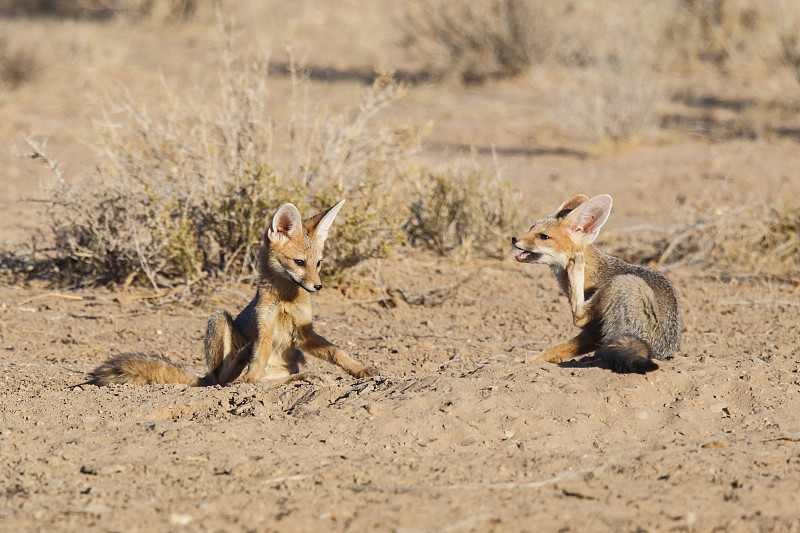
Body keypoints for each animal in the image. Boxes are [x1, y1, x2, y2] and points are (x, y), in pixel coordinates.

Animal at [90, 200, 376, 386]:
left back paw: (303, 376)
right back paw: (242, 362)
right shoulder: (265, 329)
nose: (318, 287)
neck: (285, 300)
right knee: (226, 380)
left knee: (269, 381)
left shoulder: (304, 333)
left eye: (318, 264)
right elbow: (256, 364)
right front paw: (249, 376)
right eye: (299, 263)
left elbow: (337, 352)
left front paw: (360, 369)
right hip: (219, 317)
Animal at [512, 193, 680, 372]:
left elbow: (554, 347)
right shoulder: (594, 335)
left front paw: (524, 361)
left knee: (578, 315)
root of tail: (658, 351)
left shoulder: (593, 331)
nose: (514, 239)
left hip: (623, 281)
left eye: (544, 236)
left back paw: (576, 266)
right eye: (531, 227)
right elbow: (556, 350)